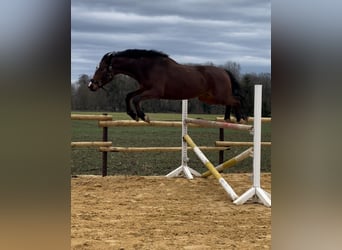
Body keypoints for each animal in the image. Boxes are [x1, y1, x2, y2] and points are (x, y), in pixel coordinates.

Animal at [89, 48, 246, 122]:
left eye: (101, 69)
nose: (91, 86)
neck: (148, 67)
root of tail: (224, 71)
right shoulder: (144, 88)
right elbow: (129, 96)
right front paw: (133, 115)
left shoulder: (155, 92)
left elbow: (136, 99)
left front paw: (143, 116)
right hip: (208, 98)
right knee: (231, 101)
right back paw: (228, 119)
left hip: (218, 96)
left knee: (237, 100)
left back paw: (240, 118)